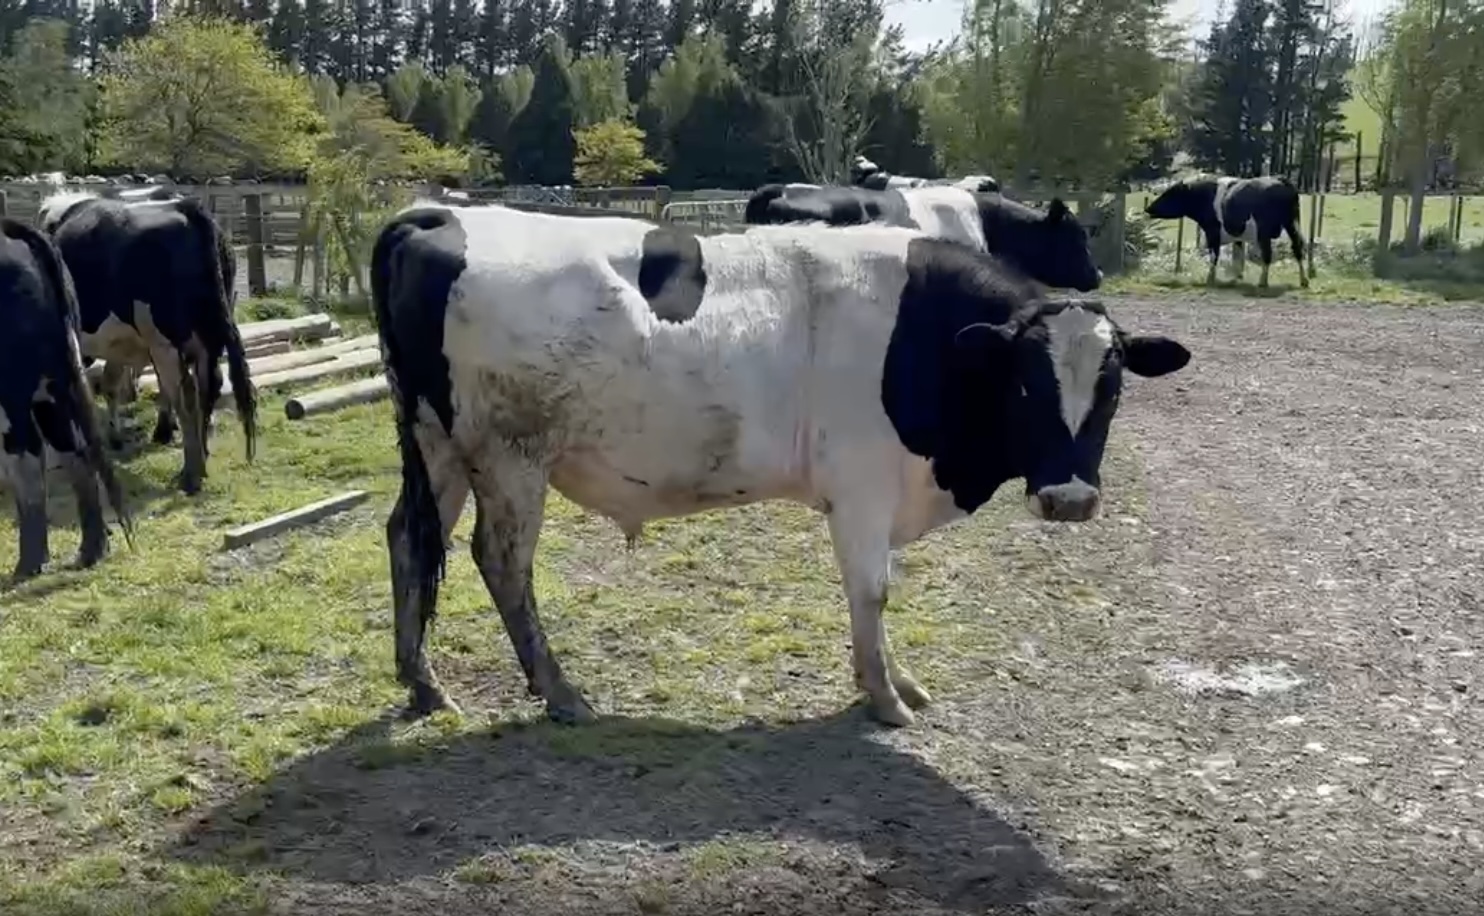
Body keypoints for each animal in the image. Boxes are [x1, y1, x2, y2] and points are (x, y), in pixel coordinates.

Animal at [0, 218, 133, 580]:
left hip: (16, 390)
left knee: (28, 453)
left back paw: (29, 564)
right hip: (53, 386)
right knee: (73, 449)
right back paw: (91, 549)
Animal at [36, 191, 257, 494]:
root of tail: (188, 208)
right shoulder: (114, 342)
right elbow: (109, 385)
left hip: (164, 340)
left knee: (186, 395)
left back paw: (191, 473)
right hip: (207, 337)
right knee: (207, 387)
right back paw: (200, 457)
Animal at [370, 203, 1190, 728]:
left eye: (1114, 386)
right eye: (1026, 383)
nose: (1070, 498)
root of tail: (436, 215)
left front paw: (898, 680)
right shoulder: (861, 488)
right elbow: (872, 592)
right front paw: (884, 699)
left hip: (439, 448)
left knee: (408, 538)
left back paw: (423, 684)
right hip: (511, 457)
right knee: (501, 562)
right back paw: (560, 692)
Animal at [1143, 175, 1310, 289]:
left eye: (1169, 193)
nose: (1148, 208)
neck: (1204, 196)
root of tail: (1280, 179)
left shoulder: (1212, 231)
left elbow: (1214, 255)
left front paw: (1210, 279)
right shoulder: (1238, 237)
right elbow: (1238, 258)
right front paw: (1236, 278)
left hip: (1265, 231)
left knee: (1268, 254)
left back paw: (1263, 282)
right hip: (1292, 225)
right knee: (1297, 249)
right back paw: (1303, 281)